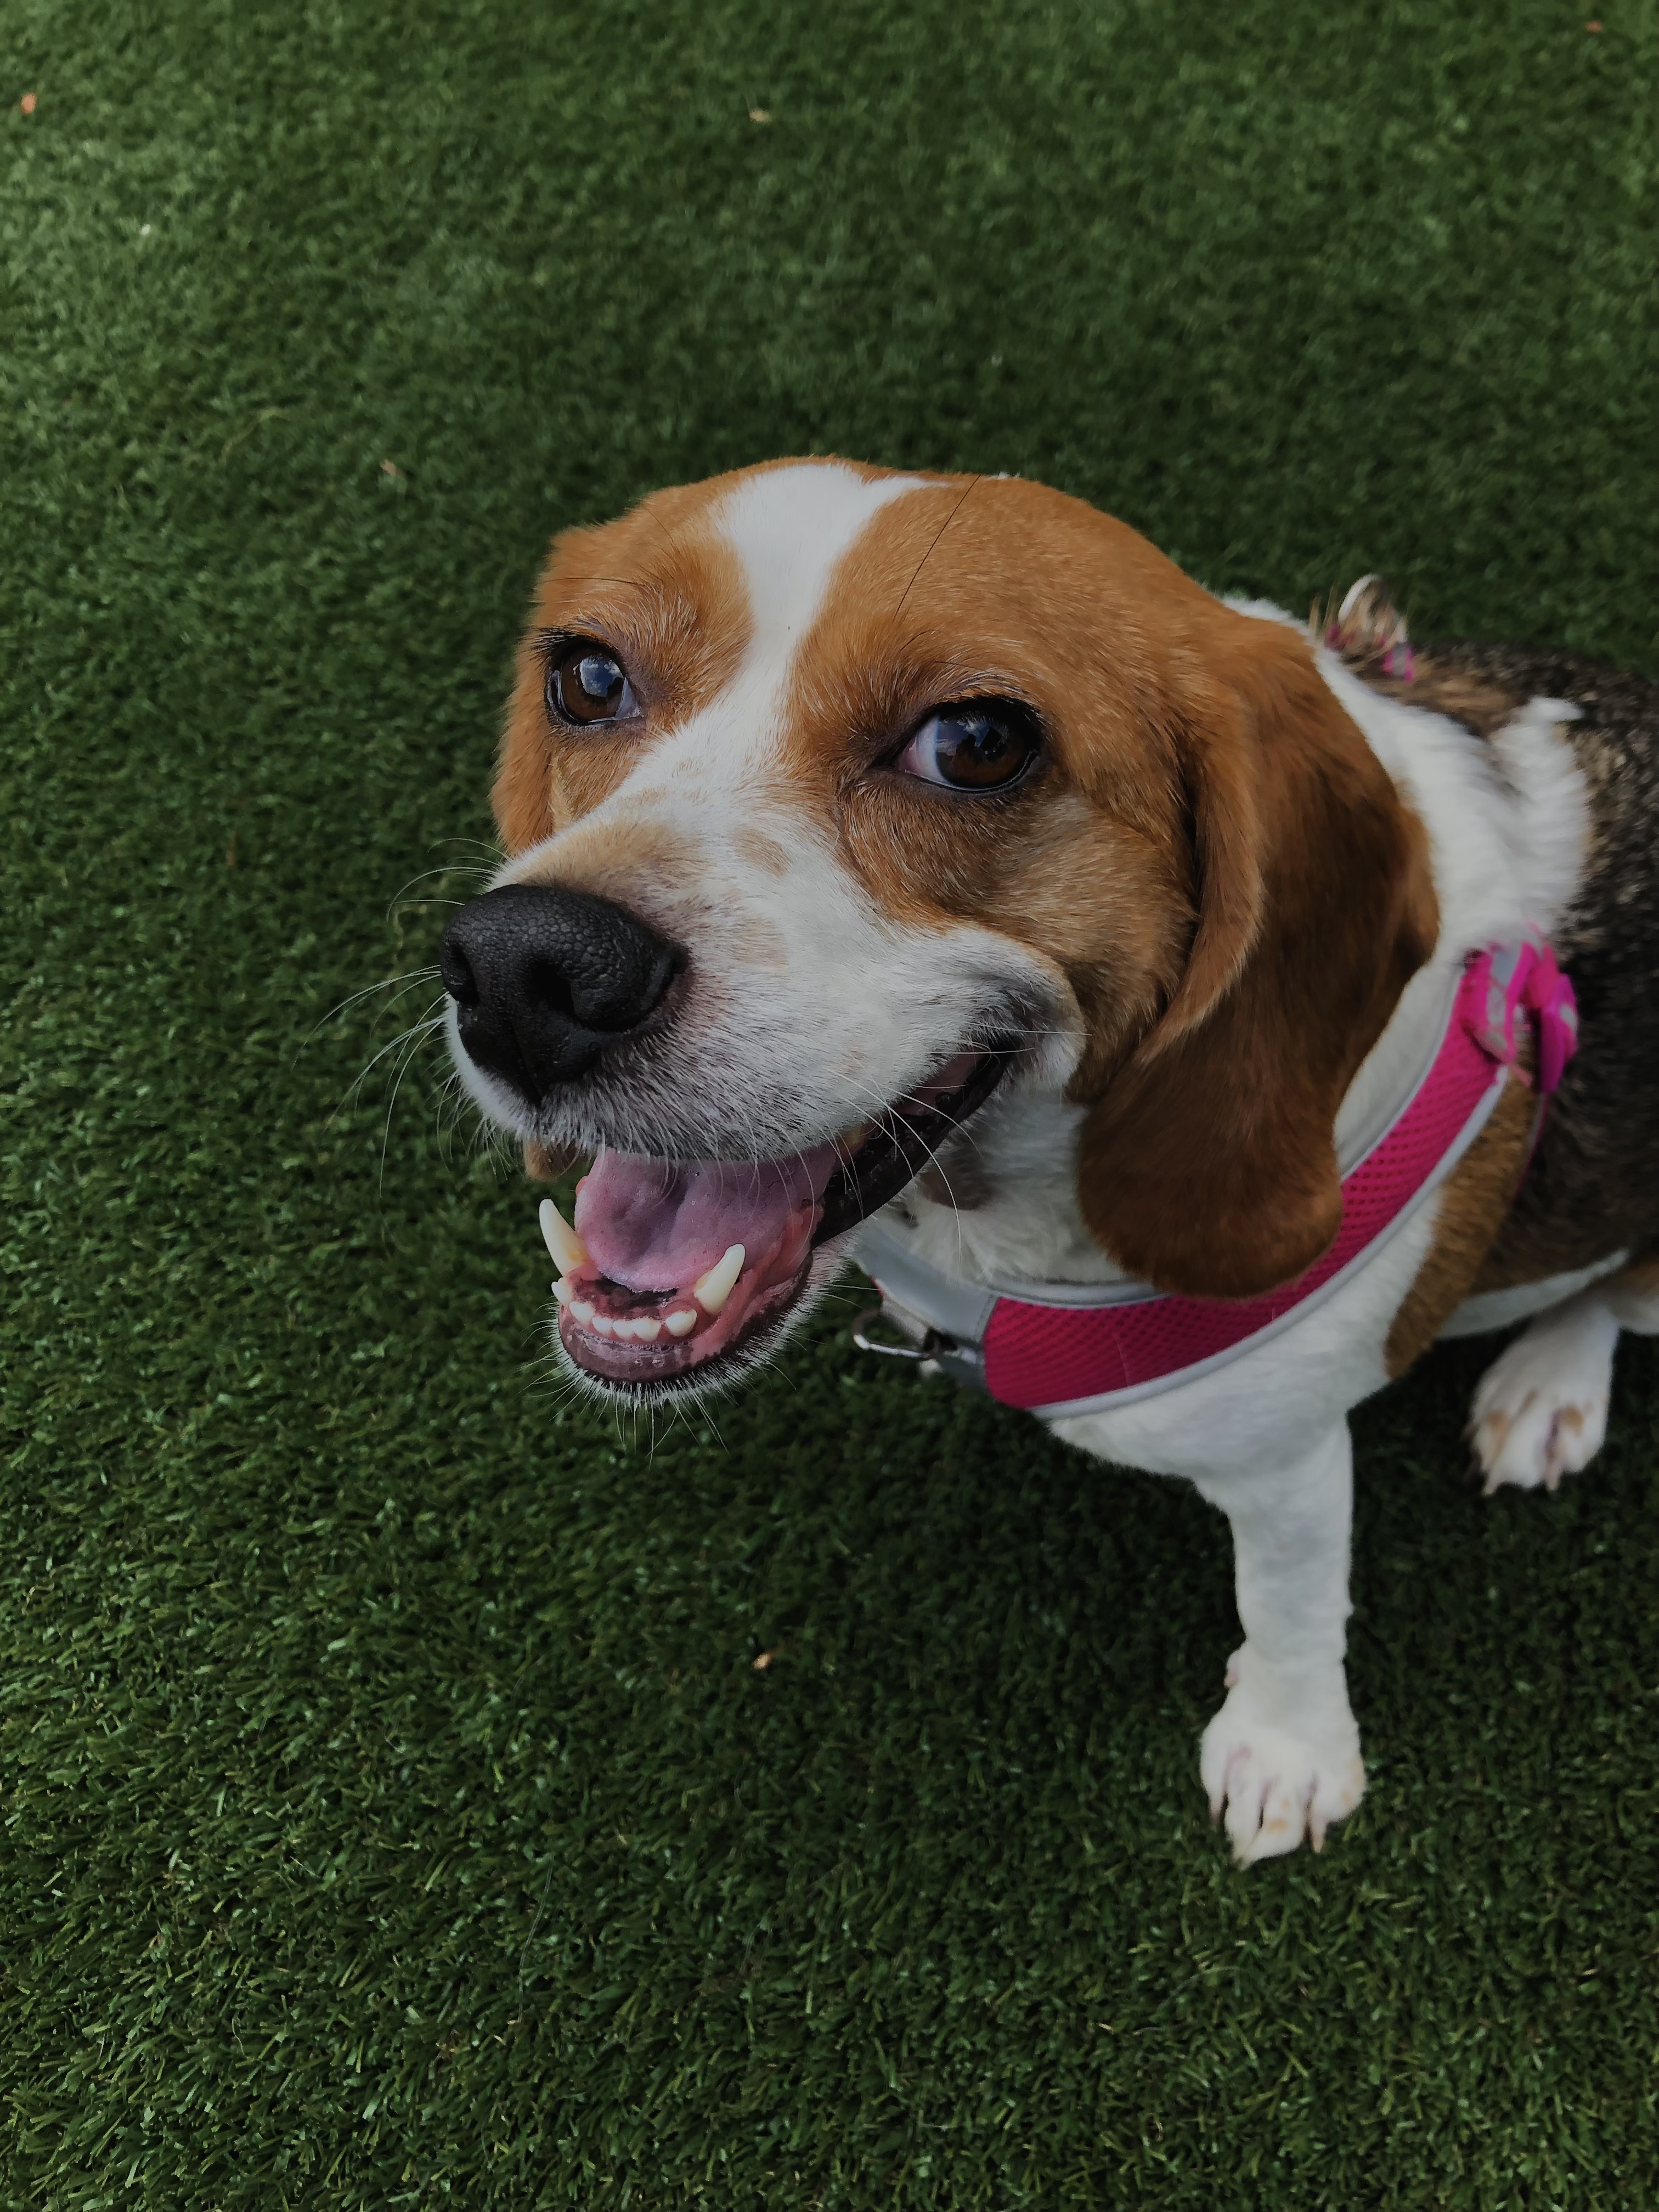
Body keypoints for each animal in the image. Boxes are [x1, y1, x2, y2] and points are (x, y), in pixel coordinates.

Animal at [438, 458, 1659, 1862]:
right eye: (588, 678)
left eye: (977, 744)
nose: (522, 972)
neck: (1001, 1233)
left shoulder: (1289, 1459)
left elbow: (1289, 1599)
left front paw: (1290, 1748)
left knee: (1613, 1292)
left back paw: (1548, 1384)